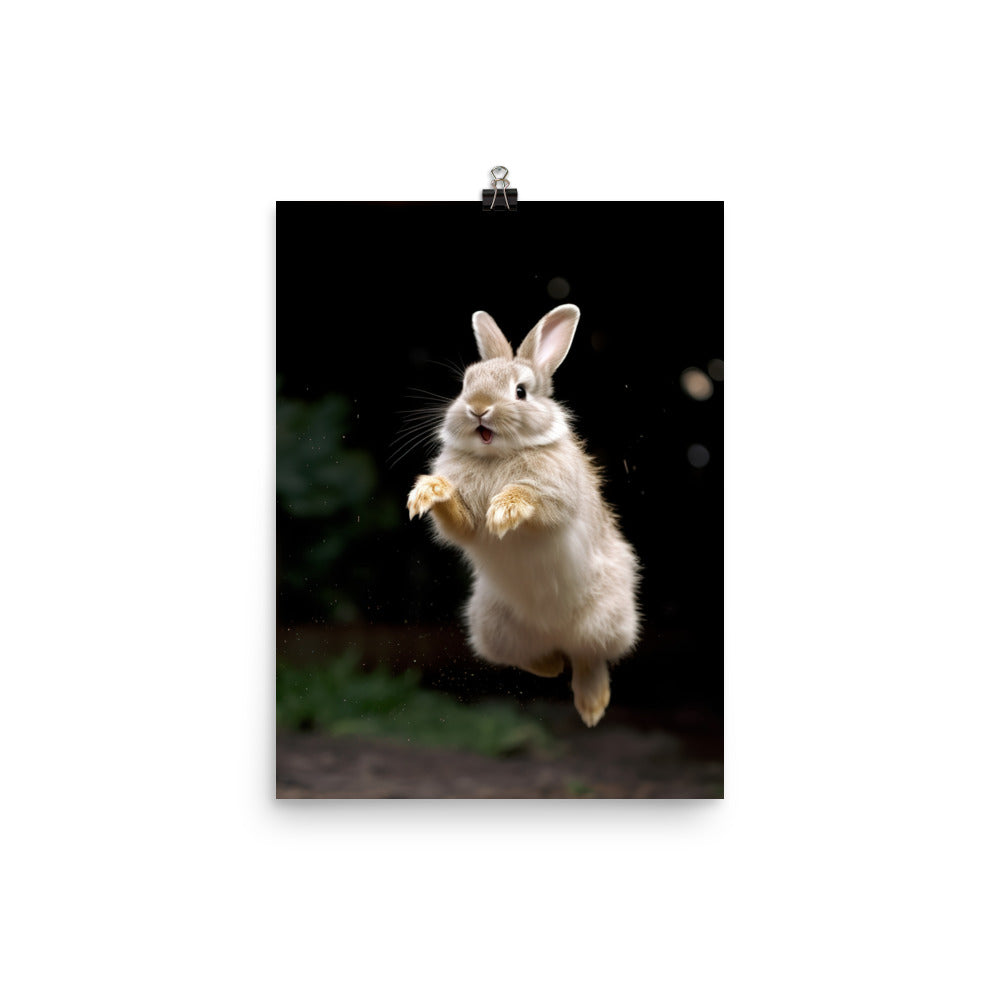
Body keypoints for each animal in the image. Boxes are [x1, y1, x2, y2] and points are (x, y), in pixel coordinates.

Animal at [406, 303, 640, 727]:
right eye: (465, 385)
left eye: (520, 392)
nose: (478, 408)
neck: (497, 455)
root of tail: (554, 632)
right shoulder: (465, 524)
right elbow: (460, 523)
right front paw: (429, 491)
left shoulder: (557, 497)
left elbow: (536, 500)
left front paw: (505, 508)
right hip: (489, 626)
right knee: (537, 659)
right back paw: (552, 665)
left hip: (607, 620)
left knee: (589, 658)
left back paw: (592, 706)